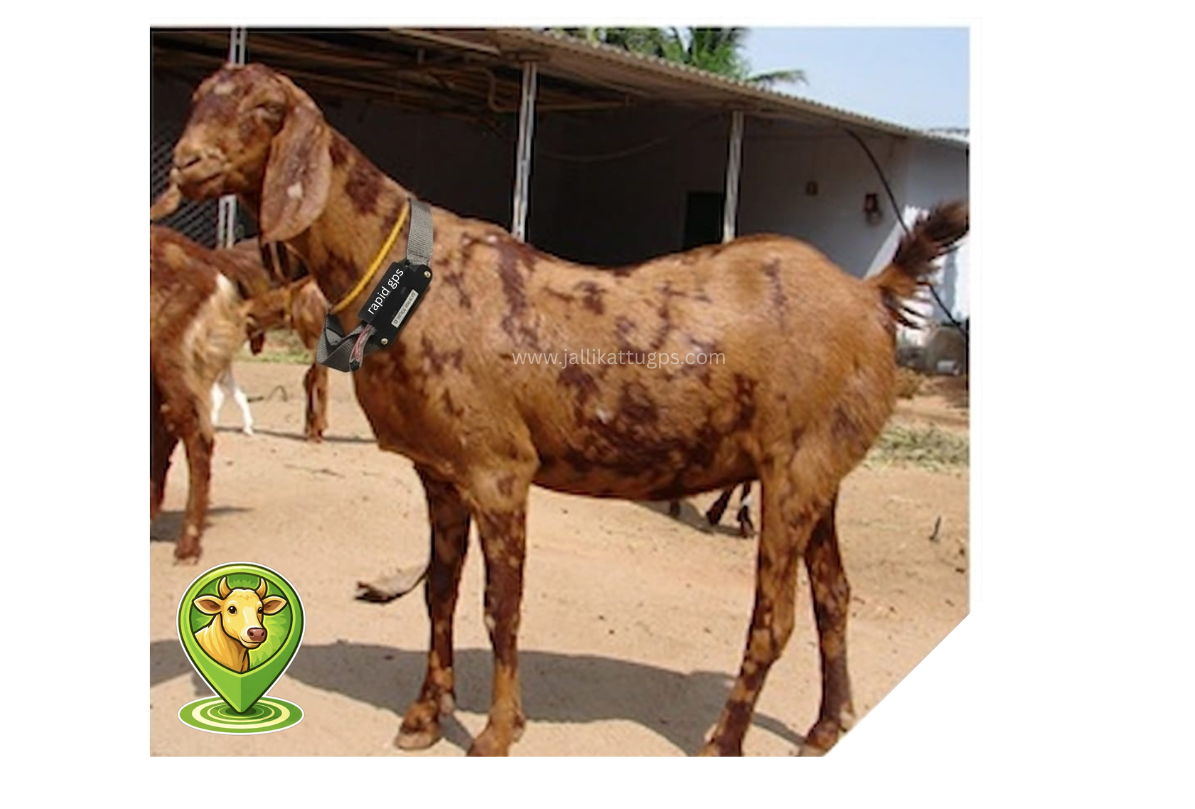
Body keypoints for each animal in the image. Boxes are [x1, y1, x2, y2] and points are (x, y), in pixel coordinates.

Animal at [161, 63, 968, 755]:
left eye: (267, 110)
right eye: (199, 96)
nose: (186, 163)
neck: (408, 278)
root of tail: (870, 296)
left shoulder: (499, 469)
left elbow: (501, 604)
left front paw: (496, 730)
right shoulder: (439, 469)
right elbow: (439, 594)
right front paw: (424, 716)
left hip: (795, 467)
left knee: (776, 615)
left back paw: (725, 739)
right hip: (821, 467)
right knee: (833, 594)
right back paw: (827, 726)